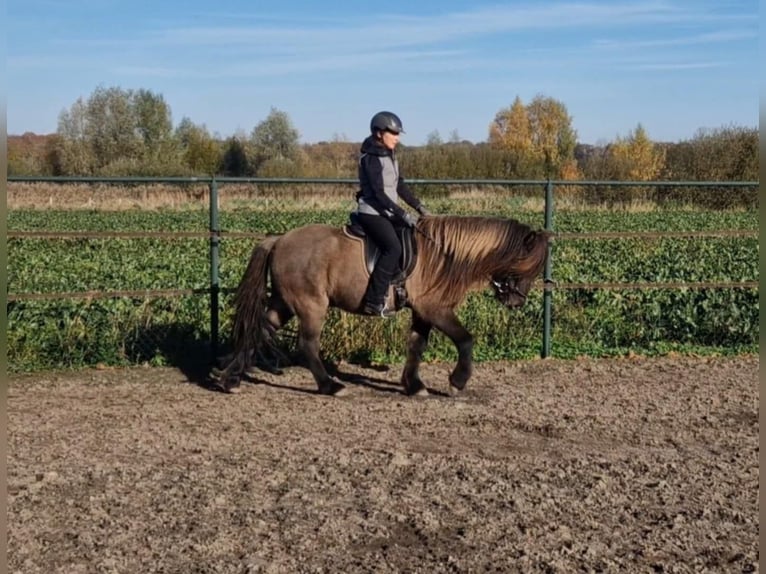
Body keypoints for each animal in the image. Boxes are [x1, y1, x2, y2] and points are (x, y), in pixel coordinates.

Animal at [216, 215, 550, 396]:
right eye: (527, 266)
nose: (518, 301)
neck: (445, 255)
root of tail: (278, 239)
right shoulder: (435, 308)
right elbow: (466, 340)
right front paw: (457, 381)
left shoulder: (421, 312)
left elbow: (416, 346)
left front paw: (414, 385)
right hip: (311, 305)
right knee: (307, 344)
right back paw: (329, 386)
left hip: (285, 302)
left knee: (260, 329)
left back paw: (230, 380)